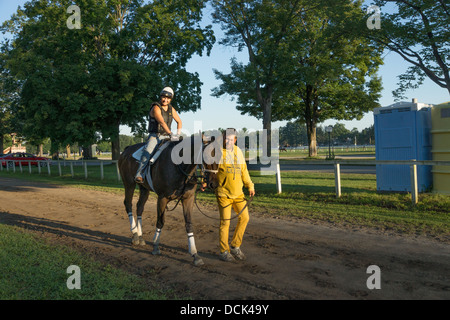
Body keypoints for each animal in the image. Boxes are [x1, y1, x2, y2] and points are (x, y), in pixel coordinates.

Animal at [118, 134, 220, 266]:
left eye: (220, 155)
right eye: (206, 156)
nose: (214, 184)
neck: (179, 166)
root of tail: (126, 150)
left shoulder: (188, 199)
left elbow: (189, 224)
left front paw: (195, 254)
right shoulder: (162, 198)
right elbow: (160, 221)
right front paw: (156, 246)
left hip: (144, 188)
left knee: (139, 207)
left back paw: (140, 237)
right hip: (129, 184)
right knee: (128, 204)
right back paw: (135, 235)